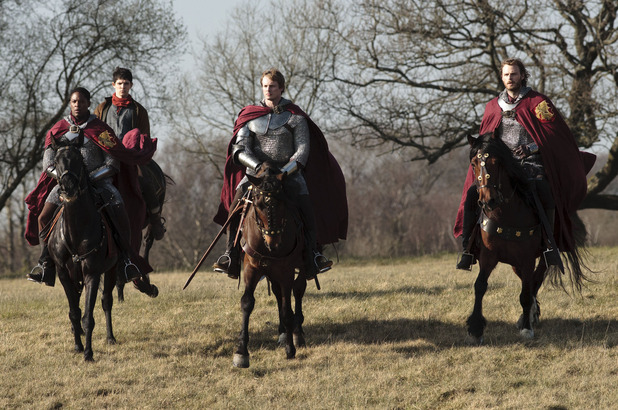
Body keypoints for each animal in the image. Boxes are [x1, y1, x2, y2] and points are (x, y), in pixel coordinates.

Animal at [47, 145, 119, 362]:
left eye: (78, 159)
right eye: (57, 161)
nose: (68, 186)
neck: (77, 230)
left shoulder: (92, 274)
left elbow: (88, 316)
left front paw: (88, 353)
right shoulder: (64, 274)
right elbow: (74, 312)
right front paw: (78, 346)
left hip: (112, 269)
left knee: (106, 301)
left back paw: (110, 337)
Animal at [232, 163, 306, 368]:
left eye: (281, 203)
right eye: (258, 205)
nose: (273, 243)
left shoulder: (286, 271)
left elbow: (288, 309)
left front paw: (290, 348)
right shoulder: (252, 268)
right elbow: (247, 303)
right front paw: (241, 352)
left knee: (298, 290)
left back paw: (297, 333)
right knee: (278, 294)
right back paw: (283, 333)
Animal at [464, 131, 584, 342]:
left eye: (497, 162)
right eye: (473, 163)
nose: (488, 201)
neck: (506, 212)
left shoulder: (527, 258)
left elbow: (526, 293)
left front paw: (527, 327)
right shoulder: (488, 256)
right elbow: (480, 286)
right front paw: (476, 329)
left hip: (546, 254)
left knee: (535, 280)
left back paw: (529, 316)